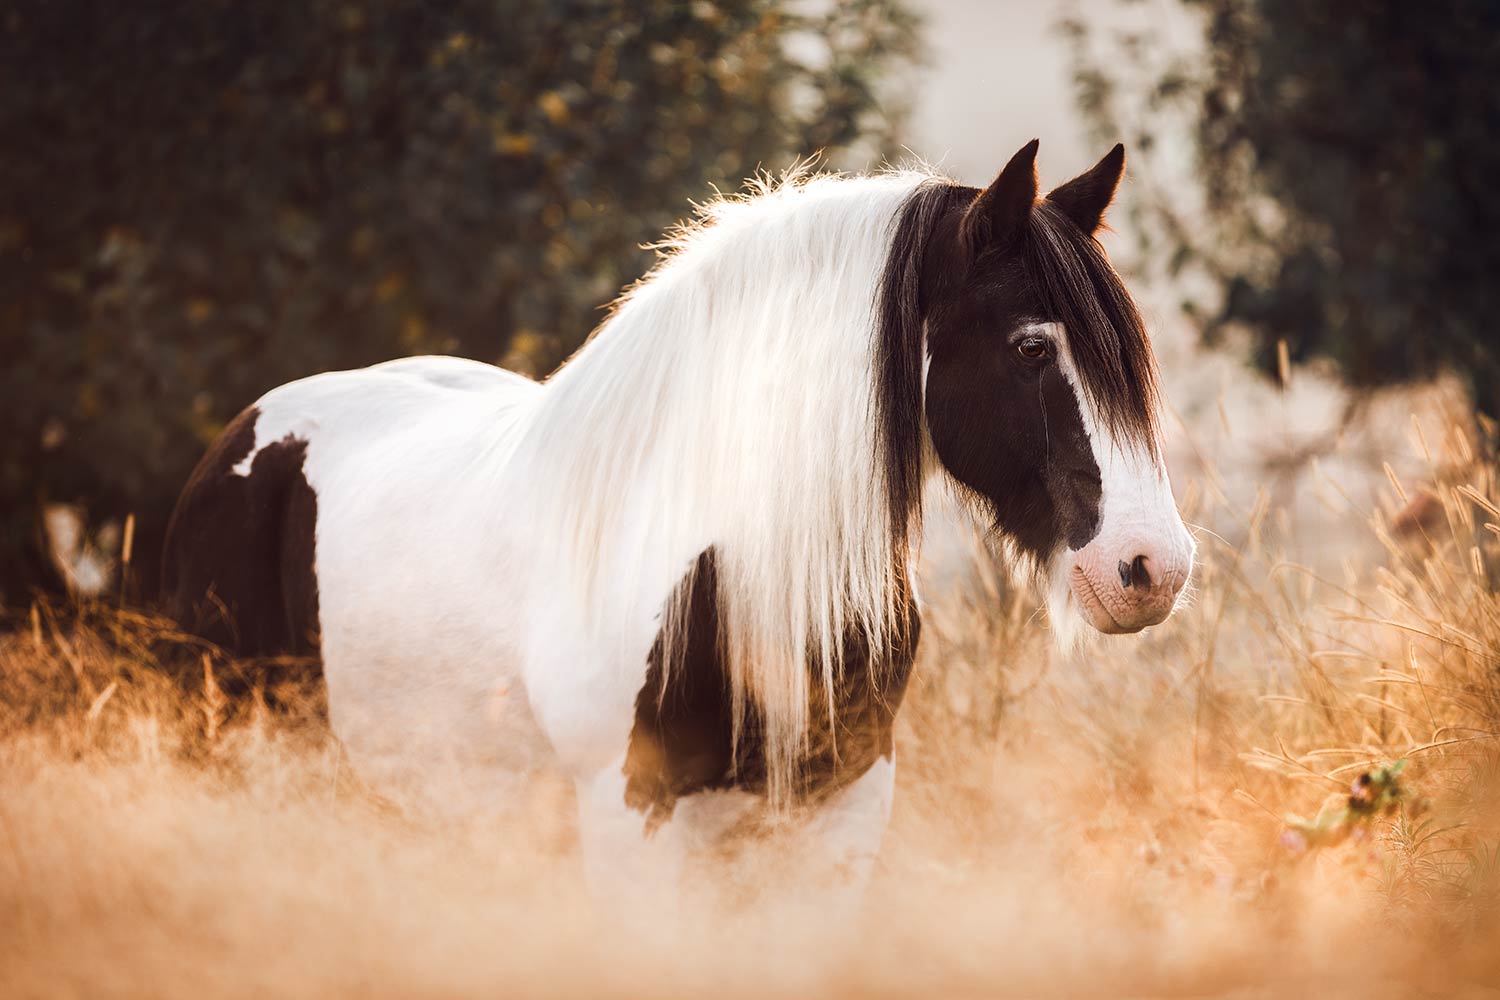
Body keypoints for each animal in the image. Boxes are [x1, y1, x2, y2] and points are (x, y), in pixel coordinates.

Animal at [162, 140, 1195, 901]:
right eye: (1030, 348)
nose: (1153, 566)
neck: (738, 574)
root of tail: (245, 437)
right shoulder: (633, 828)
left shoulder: (837, 825)